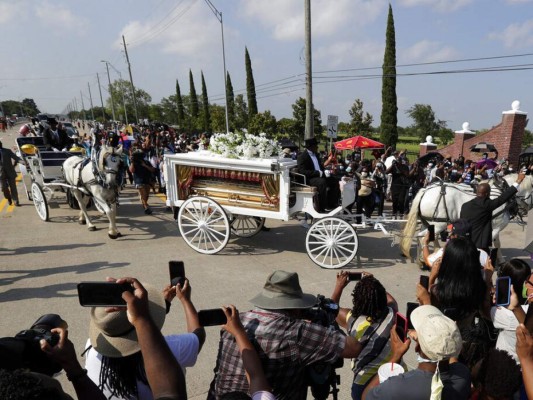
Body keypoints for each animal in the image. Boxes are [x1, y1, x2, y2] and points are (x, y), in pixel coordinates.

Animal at [400, 173, 532, 258]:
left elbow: (497, 244)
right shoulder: (496, 227)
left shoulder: (494, 227)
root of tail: (425, 190)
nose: (526, 210)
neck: (501, 192)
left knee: (427, 236)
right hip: (439, 224)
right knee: (423, 238)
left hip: (429, 222)